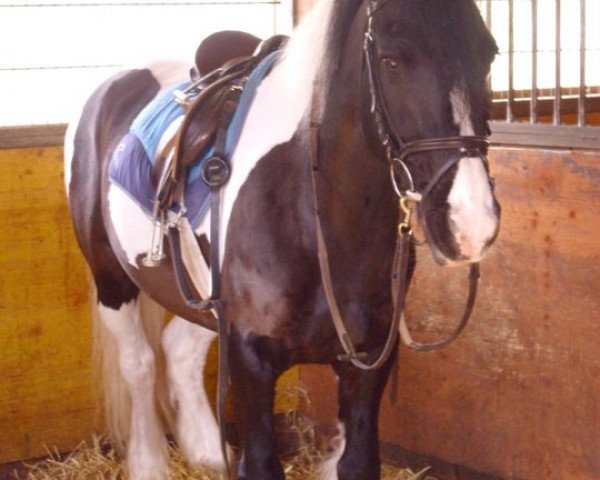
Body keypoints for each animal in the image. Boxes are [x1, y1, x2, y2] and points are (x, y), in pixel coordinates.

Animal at [63, 0, 500, 478]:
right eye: (391, 59)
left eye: (490, 56)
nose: (470, 223)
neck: (315, 216)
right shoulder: (251, 360)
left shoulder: (366, 363)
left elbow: (357, 462)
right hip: (112, 278)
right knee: (139, 366)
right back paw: (149, 463)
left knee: (179, 351)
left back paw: (206, 451)